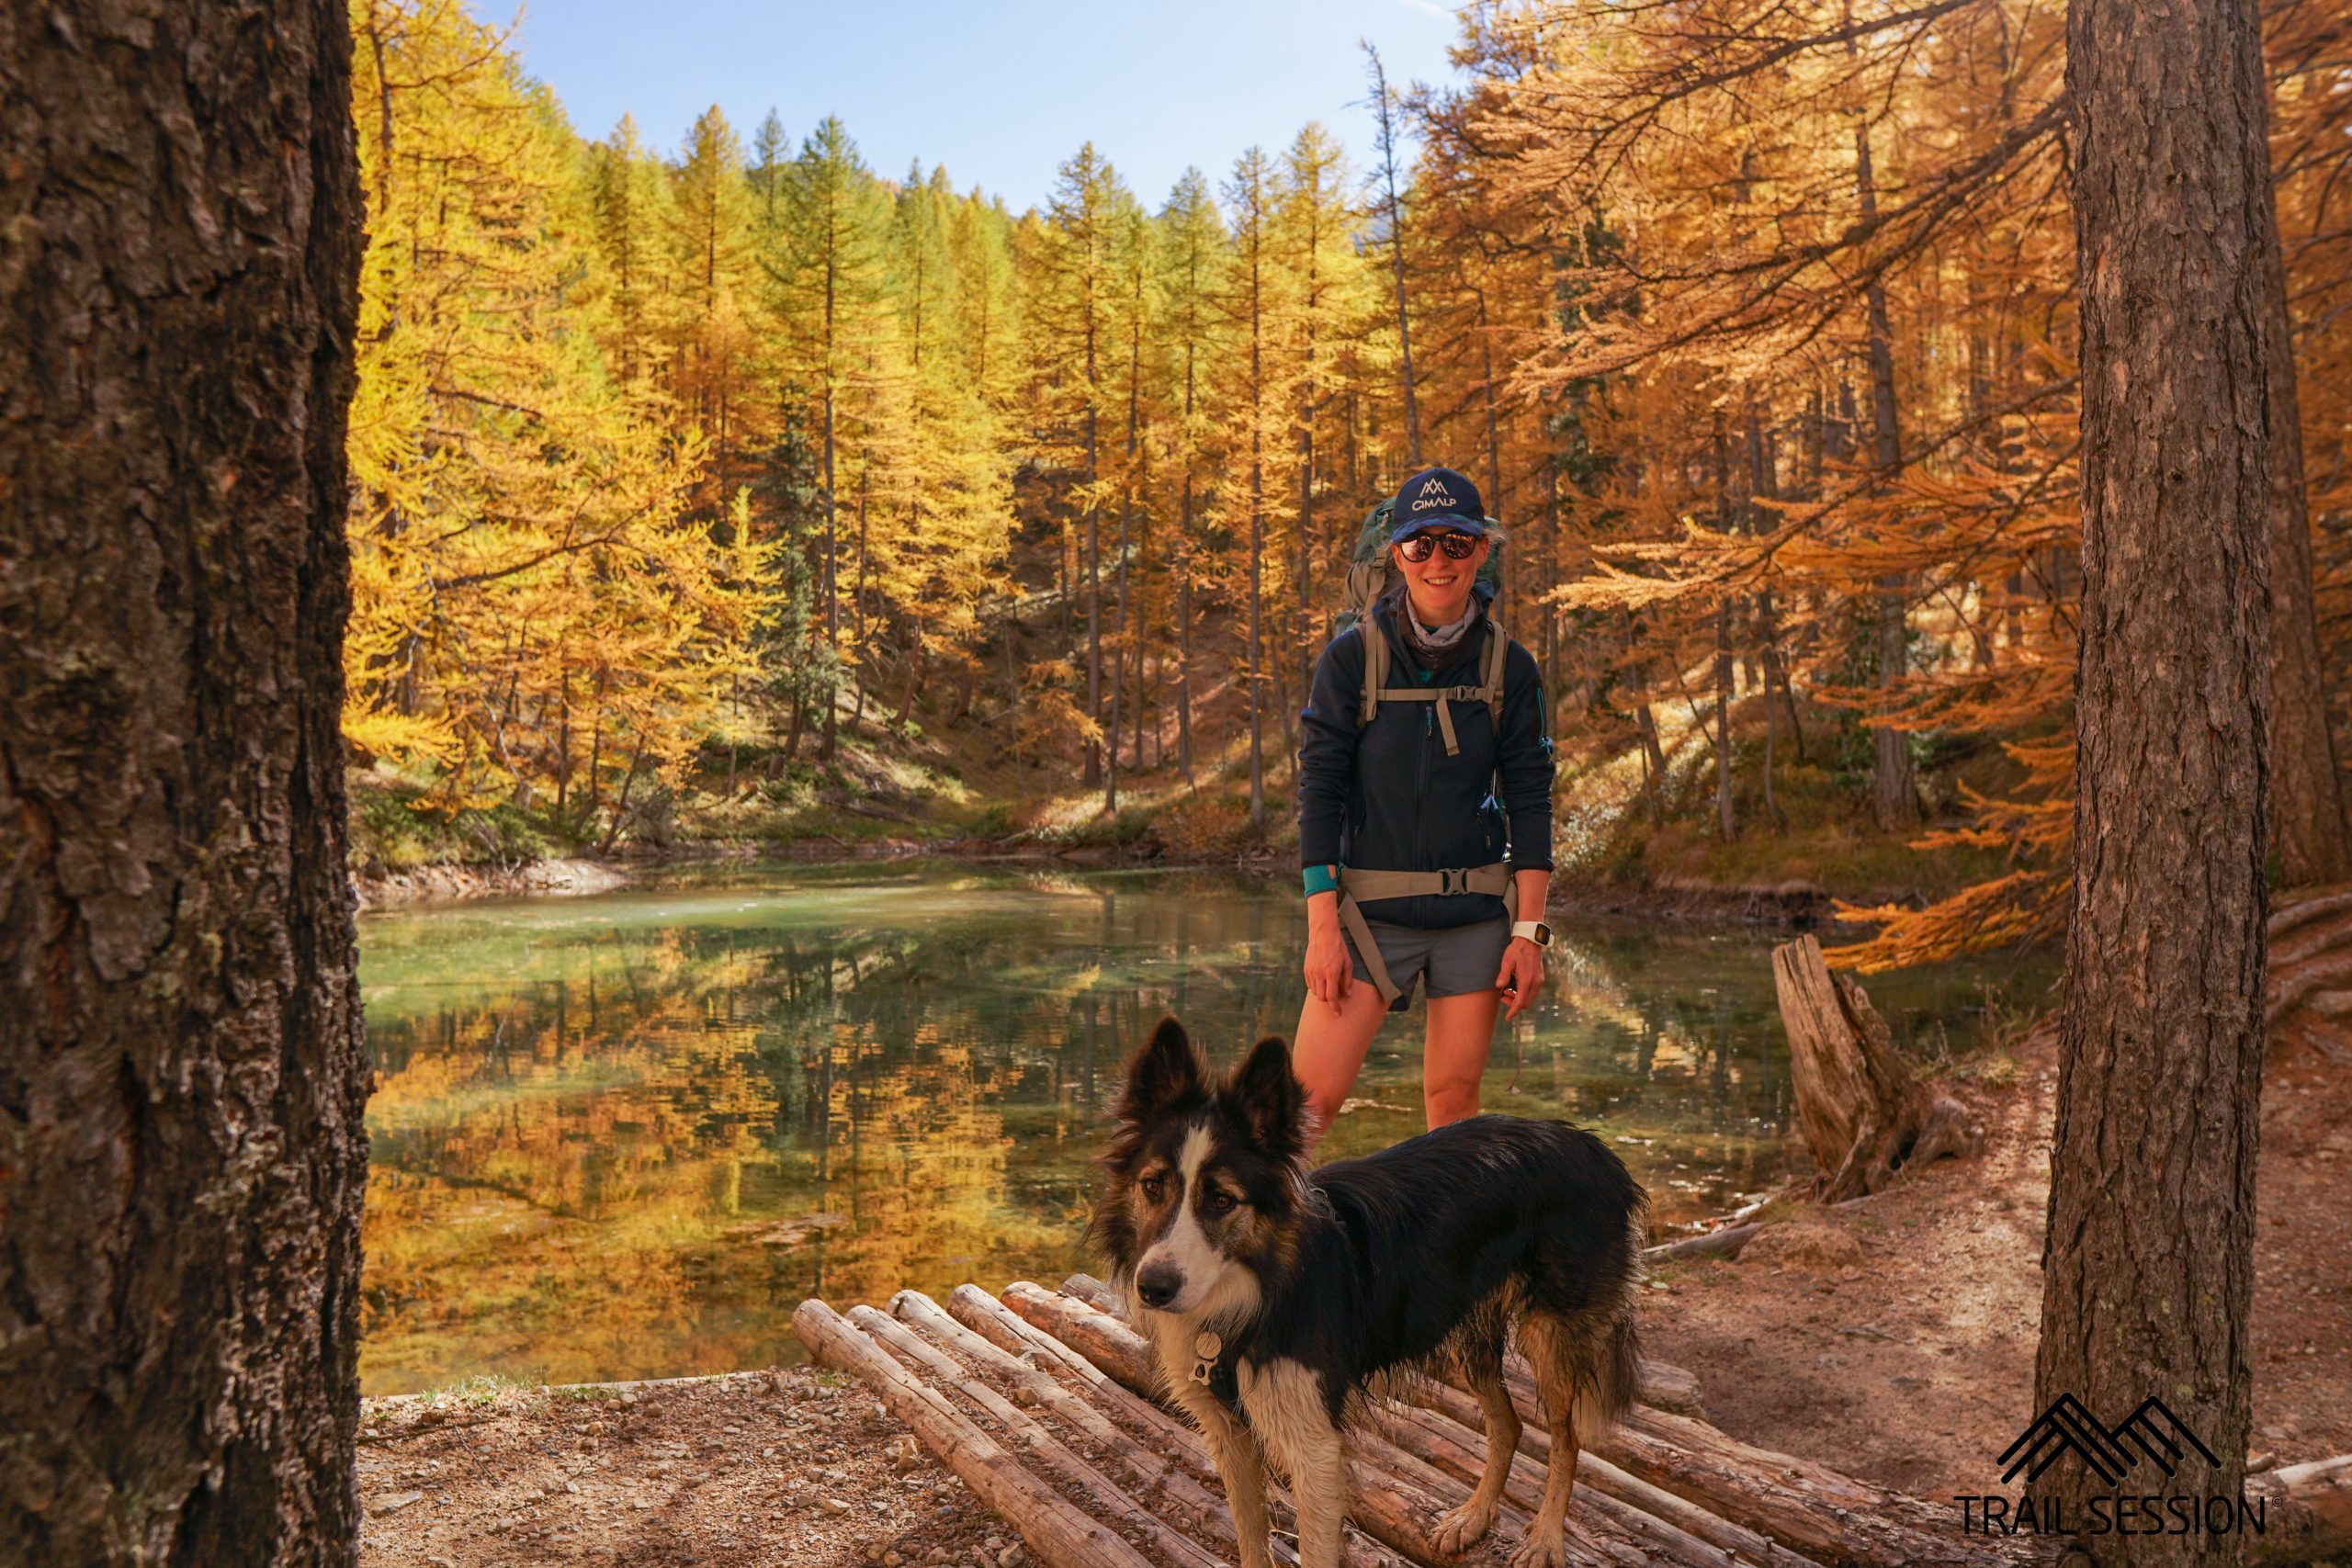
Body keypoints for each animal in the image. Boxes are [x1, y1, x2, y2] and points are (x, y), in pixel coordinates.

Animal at [1091, 1020, 1646, 1568]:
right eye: (1152, 1186)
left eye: (1223, 1200)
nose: (1153, 1288)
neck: (1253, 1296)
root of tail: (1591, 1145)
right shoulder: (1230, 1434)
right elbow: (1251, 1540)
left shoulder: (1315, 1449)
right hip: (1468, 1331)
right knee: (1508, 1425)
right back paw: (1474, 1517)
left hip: (1552, 1335)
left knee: (1566, 1440)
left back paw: (1546, 1536)